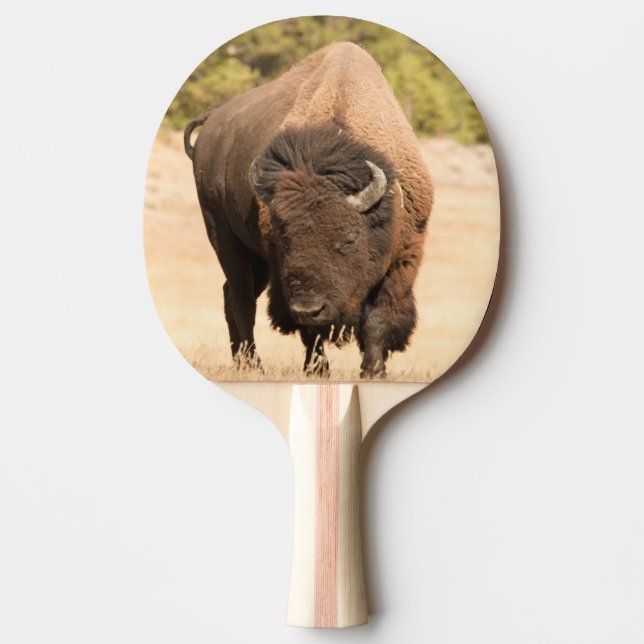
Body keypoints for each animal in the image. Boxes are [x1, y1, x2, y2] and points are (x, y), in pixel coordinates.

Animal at [184, 42, 433, 377]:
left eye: (349, 238)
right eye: (283, 239)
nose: (308, 308)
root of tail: (211, 123)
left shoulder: (404, 258)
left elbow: (378, 317)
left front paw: (373, 370)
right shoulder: (284, 275)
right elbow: (310, 332)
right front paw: (318, 370)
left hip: (255, 261)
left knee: (231, 295)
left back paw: (241, 361)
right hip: (224, 238)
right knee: (241, 299)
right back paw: (253, 364)